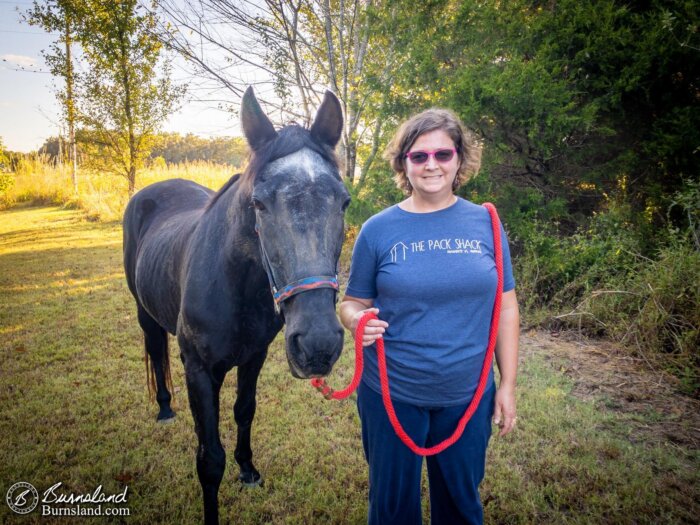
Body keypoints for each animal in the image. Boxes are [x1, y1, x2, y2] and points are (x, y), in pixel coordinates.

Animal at [123, 88, 350, 520]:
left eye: (343, 201)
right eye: (259, 204)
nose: (318, 344)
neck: (235, 289)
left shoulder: (253, 356)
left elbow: (245, 410)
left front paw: (248, 471)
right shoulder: (197, 369)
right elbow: (209, 459)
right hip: (145, 316)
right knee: (155, 352)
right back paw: (164, 409)